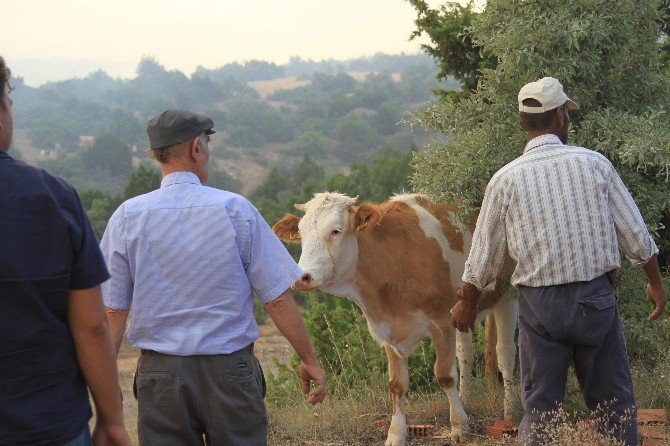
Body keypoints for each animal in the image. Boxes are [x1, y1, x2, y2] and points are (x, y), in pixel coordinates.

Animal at [272, 193, 520, 446]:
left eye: (336, 231)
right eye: (301, 234)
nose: (301, 277)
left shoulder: (441, 322)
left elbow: (445, 375)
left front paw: (458, 426)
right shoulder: (388, 329)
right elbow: (396, 385)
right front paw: (396, 433)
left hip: (507, 294)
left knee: (505, 353)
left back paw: (509, 410)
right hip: (463, 312)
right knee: (465, 354)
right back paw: (466, 400)